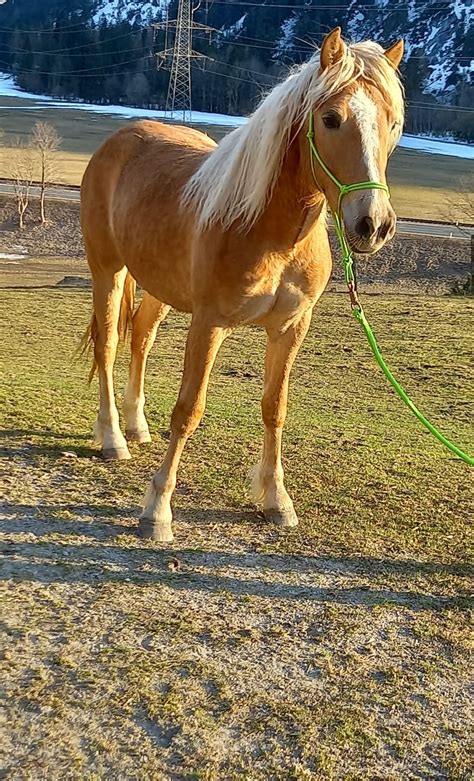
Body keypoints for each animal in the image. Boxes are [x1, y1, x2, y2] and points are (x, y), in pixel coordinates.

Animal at [80, 30, 404, 544]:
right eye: (331, 119)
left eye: (393, 124)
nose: (372, 225)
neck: (272, 232)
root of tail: (120, 140)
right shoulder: (209, 324)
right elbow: (188, 410)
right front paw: (157, 509)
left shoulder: (291, 328)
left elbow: (275, 407)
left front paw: (277, 500)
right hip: (107, 270)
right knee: (109, 343)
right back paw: (113, 437)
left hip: (159, 287)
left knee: (141, 338)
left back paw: (136, 425)